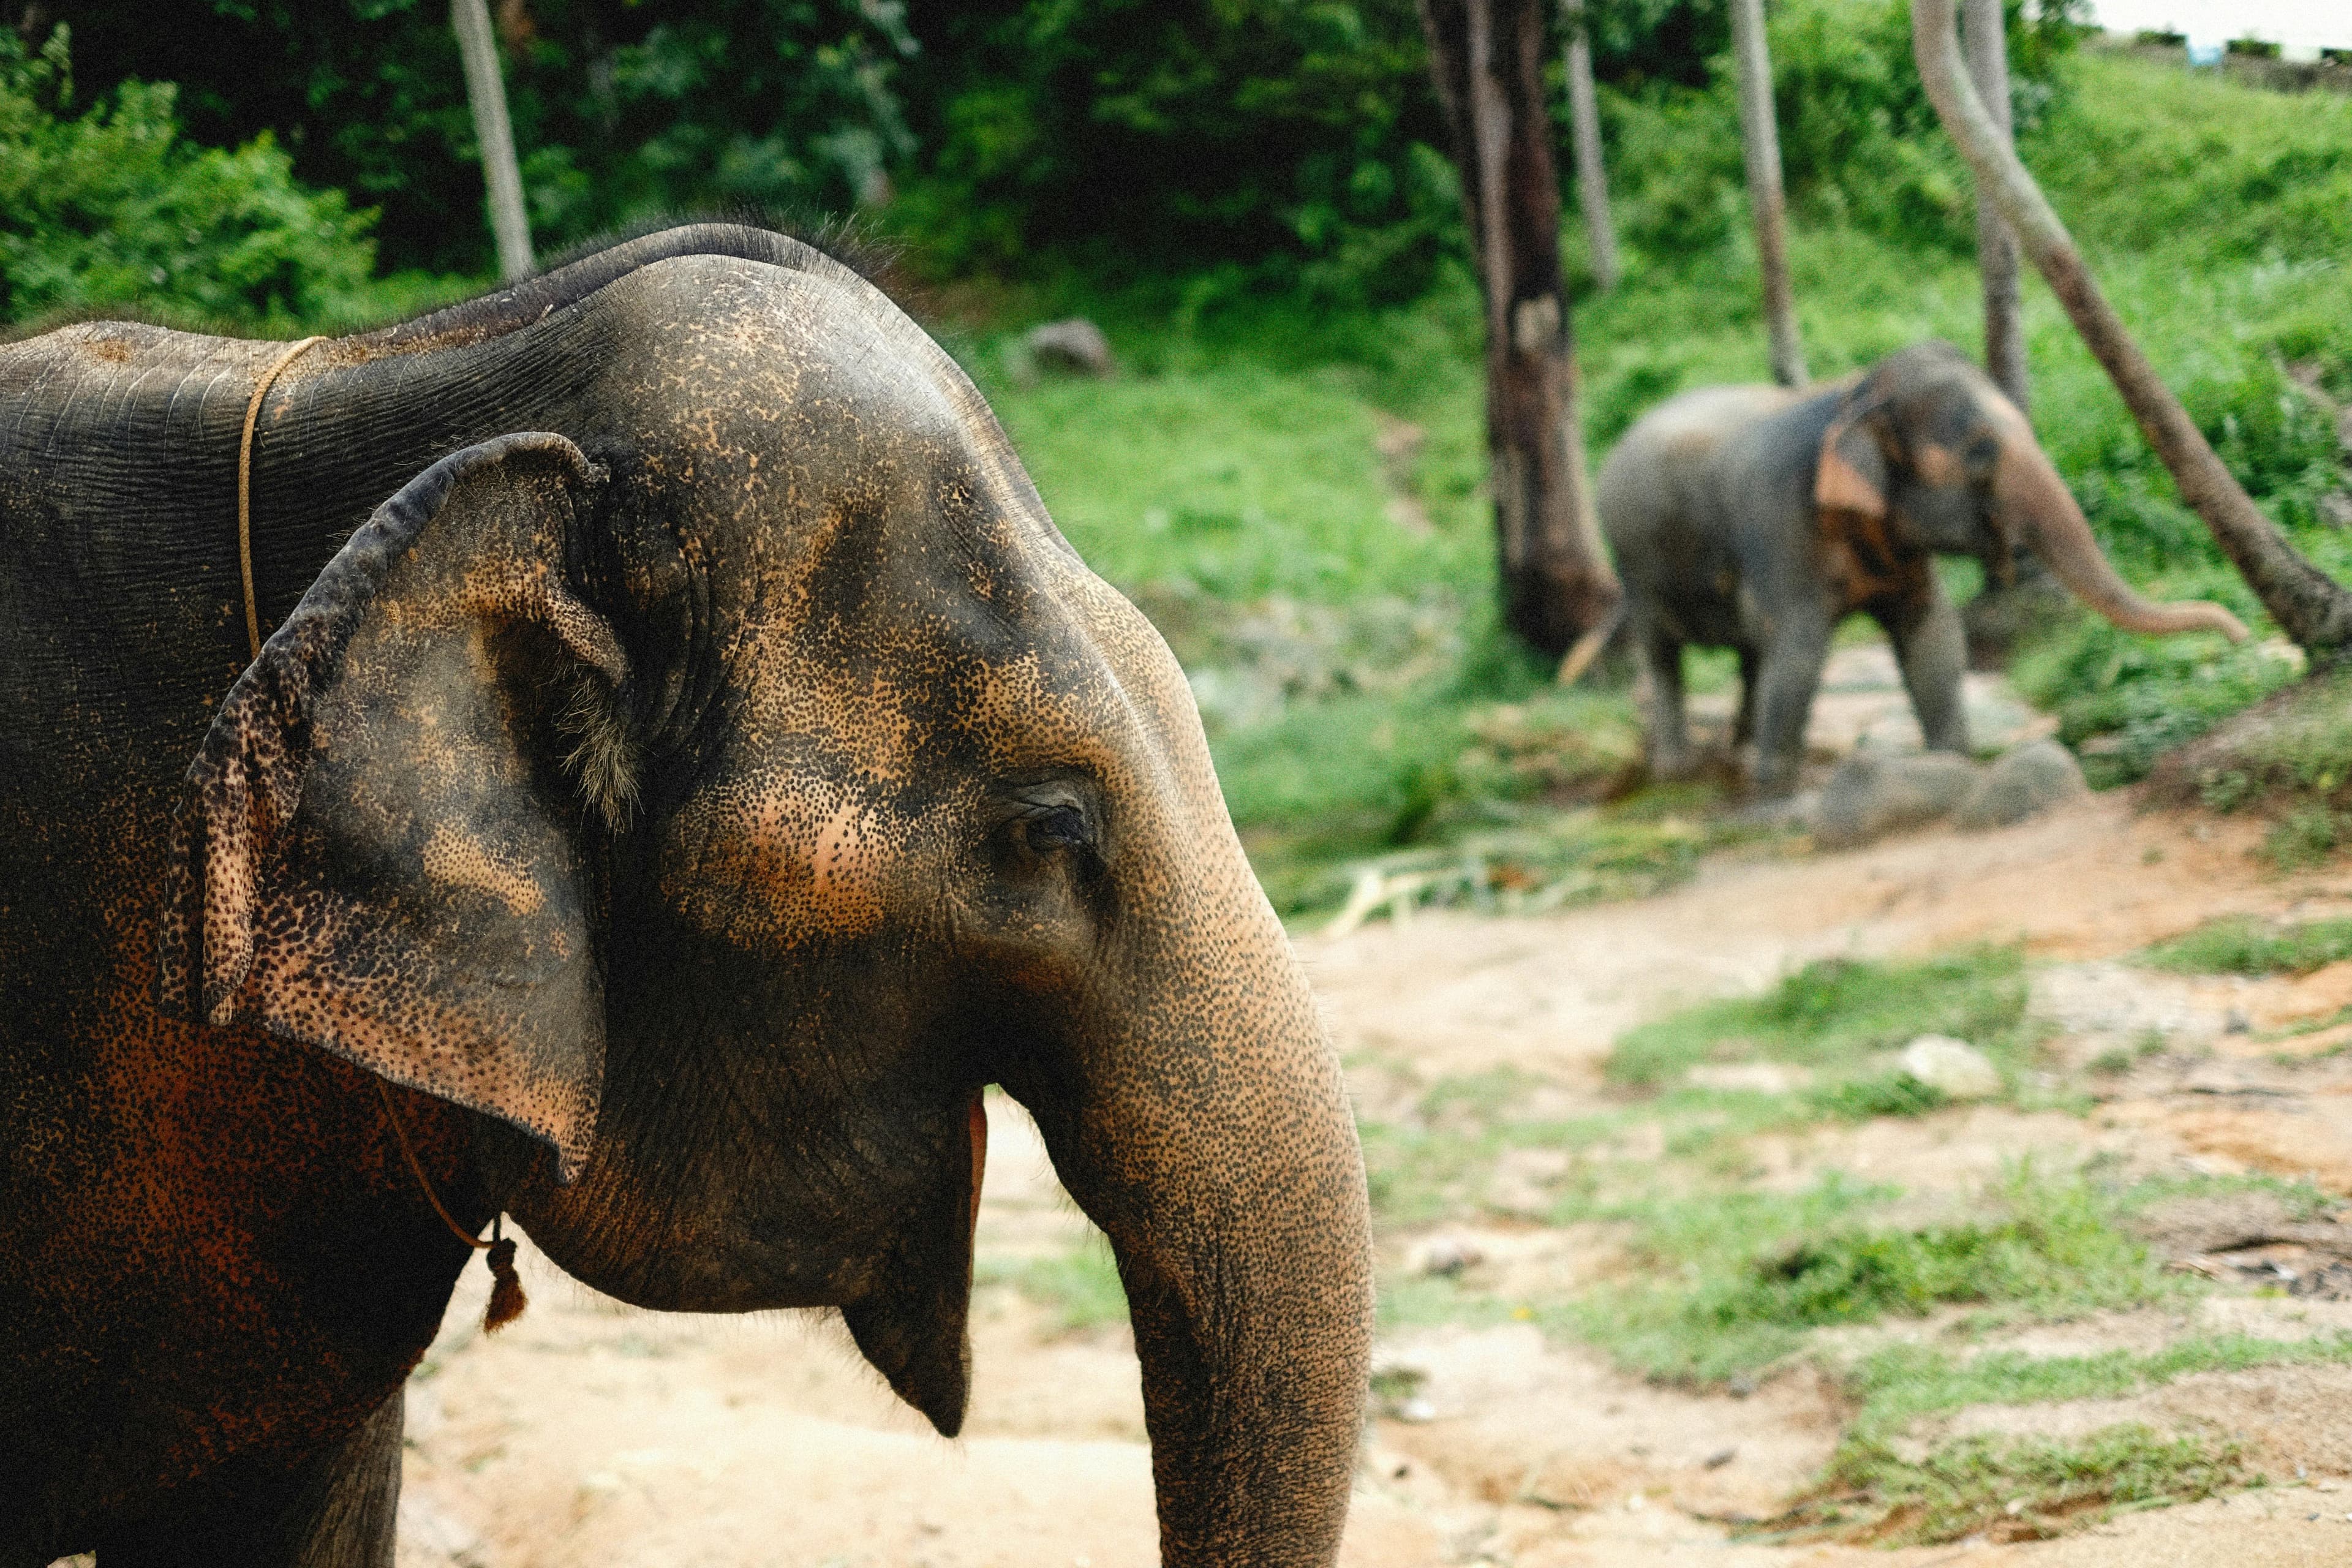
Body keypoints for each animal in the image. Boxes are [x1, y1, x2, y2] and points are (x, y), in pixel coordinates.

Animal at [1596, 341, 2248, 796]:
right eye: (1981, 454)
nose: (2240, 633)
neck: (1854, 396)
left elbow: (1932, 634)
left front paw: (1953, 763)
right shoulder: (1778, 522)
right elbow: (1800, 651)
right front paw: (1776, 795)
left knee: (1751, 654)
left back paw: (1735, 755)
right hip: (1631, 561)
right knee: (1666, 653)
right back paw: (1680, 771)